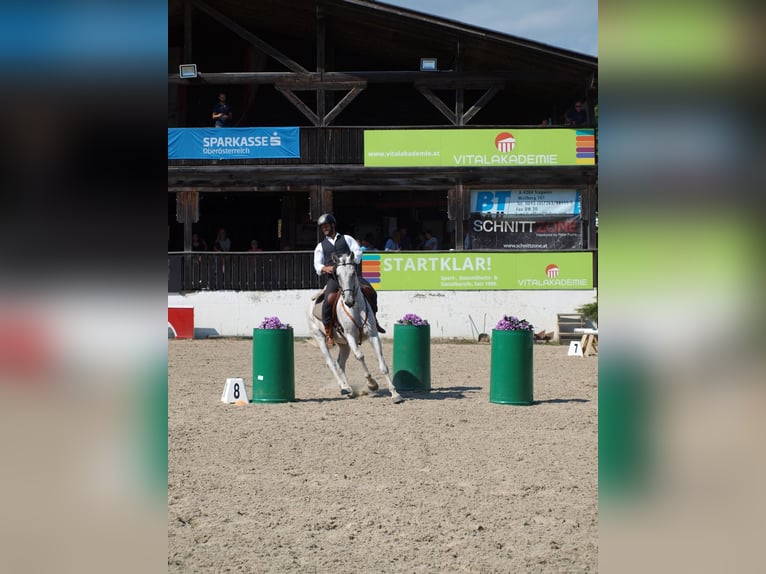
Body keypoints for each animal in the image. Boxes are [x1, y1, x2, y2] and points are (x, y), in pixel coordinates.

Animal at [306, 252, 404, 404]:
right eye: (337, 275)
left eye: (353, 273)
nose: (348, 301)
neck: (356, 308)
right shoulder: (351, 336)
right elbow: (360, 356)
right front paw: (372, 383)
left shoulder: (373, 335)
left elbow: (383, 365)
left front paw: (395, 394)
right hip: (320, 337)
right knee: (331, 363)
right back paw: (344, 387)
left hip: (344, 344)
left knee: (340, 364)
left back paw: (349, 390)